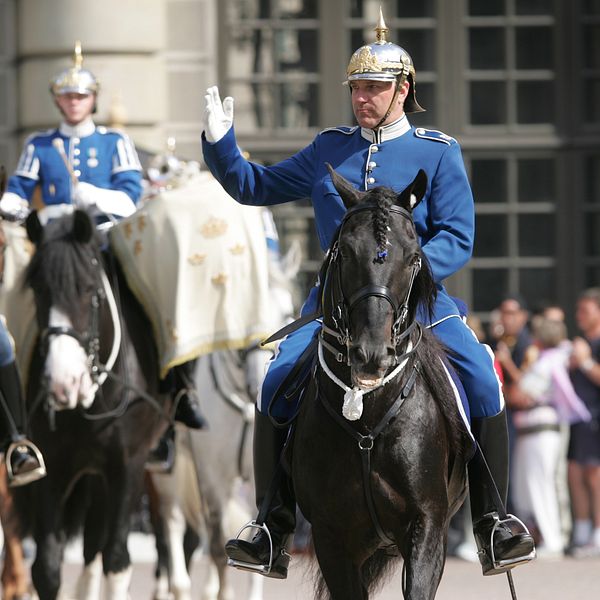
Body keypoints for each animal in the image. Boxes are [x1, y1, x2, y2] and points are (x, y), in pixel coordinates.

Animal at [19, 209, 169, 596]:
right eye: (38, 290)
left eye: (89, 290)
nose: (61, 383)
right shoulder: (51, 466)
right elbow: (47, 567)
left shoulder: (128, 467)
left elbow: (116, 561)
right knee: (89, 550)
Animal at [292, 168, 474, 600]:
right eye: (344, 253)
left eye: (414, 258)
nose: (371, 353)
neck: (366, 418)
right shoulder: (331, 538)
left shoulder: (428, 526)